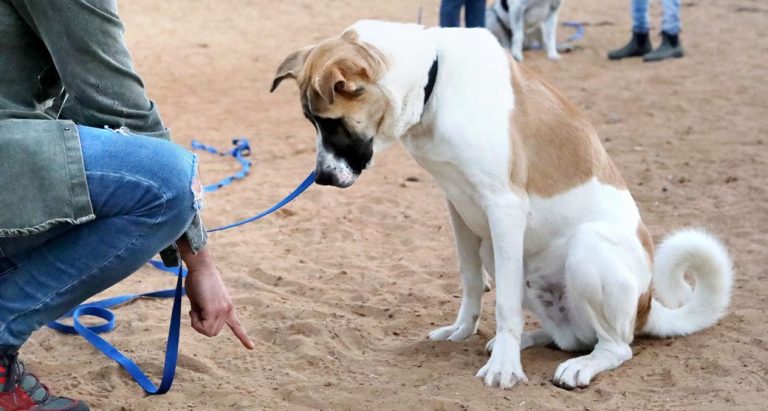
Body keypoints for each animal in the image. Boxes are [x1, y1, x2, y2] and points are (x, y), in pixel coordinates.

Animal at [270, 20, 732, 390]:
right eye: (312, 123)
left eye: (331, 123)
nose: (322, 178)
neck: (435, 82)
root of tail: (646, 306)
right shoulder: (457, 205)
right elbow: (472, 281)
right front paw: (463, 330)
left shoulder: (504, 210)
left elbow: (506, 303)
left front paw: (505, 369)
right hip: (499, 251)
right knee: (568, 337)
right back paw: (527, 341)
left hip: (586, 245)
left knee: (616, 346)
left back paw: (577, 364)